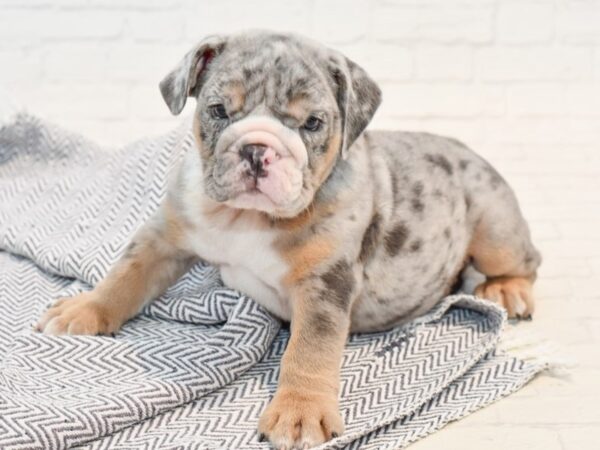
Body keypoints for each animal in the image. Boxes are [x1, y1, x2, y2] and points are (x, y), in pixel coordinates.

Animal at [37, 29, 544, 448]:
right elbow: (127, 273)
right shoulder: (165, 234)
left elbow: (309, 350)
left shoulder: (324, 284)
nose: (257, 148)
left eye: (313, 123)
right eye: (219, 111)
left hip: (494, 227)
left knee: (525, 260)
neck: (248, 219)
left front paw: (300, 413)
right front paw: (86, 309)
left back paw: (507, 290)